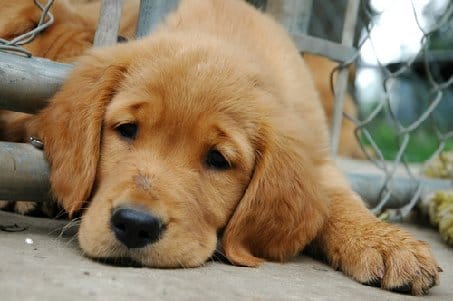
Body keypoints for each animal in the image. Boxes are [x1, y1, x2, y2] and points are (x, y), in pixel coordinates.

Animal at [20, 0, 438, 296]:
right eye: (127, 130)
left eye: (218, 160)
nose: (135, 225)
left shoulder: (319, 156)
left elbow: (340, 201)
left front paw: (386, 242)